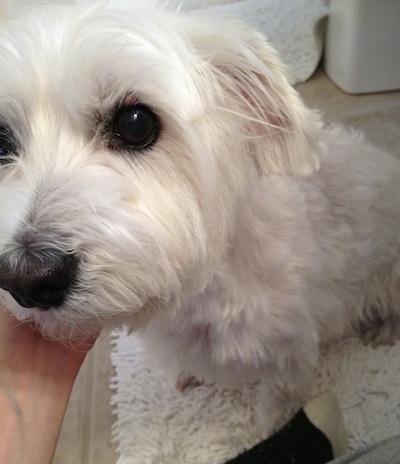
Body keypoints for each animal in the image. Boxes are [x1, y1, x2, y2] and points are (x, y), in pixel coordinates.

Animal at [0, 0, 400, 434]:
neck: (203, 287)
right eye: (1, 142)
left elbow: (276, 407)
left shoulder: (289, 355)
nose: (27, 277)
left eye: (135, 123)